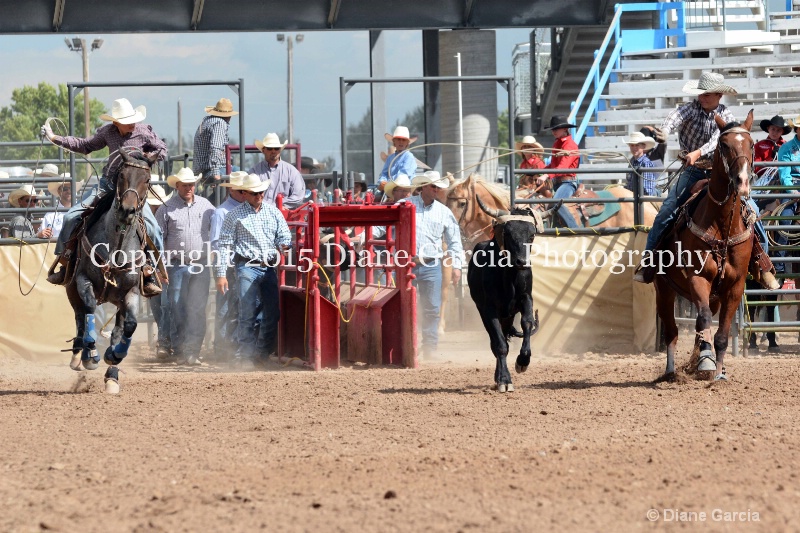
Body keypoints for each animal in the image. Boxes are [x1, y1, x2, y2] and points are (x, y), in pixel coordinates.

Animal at [65, 148, 157, 392]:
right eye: (122, 175)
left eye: (147, 180)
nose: (127, 210)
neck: (117, 246)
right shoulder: (83, 279)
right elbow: (89, 308)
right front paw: (91, 355)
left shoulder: (131, 292)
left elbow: (131, 325)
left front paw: (114, 356)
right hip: (71, 289)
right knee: (80, 317)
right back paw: (79, 354)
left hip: (118, 300)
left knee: (117, 329)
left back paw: (112, 376)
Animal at [652, 110, 752, 380]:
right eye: (724, 145)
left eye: (751, 145)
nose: (742, 181)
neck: (722, 225)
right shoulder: (698, 278)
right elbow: (704, 319)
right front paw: (707, 363)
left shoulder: (735, 286)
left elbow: (722, 334)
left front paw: (718, 373)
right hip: (663, 290)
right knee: (673, 332)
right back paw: (671, 372)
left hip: (714, 295)